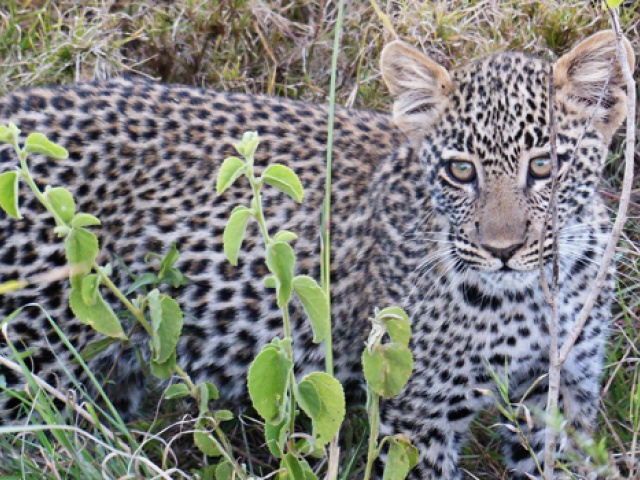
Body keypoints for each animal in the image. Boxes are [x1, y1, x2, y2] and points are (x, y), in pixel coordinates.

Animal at [0, 31, 632, 478]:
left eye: (545, 166)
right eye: (460, 171)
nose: (502, 250)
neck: (534, 298)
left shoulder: (561, 396)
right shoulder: (416, 417)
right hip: (29, 360)